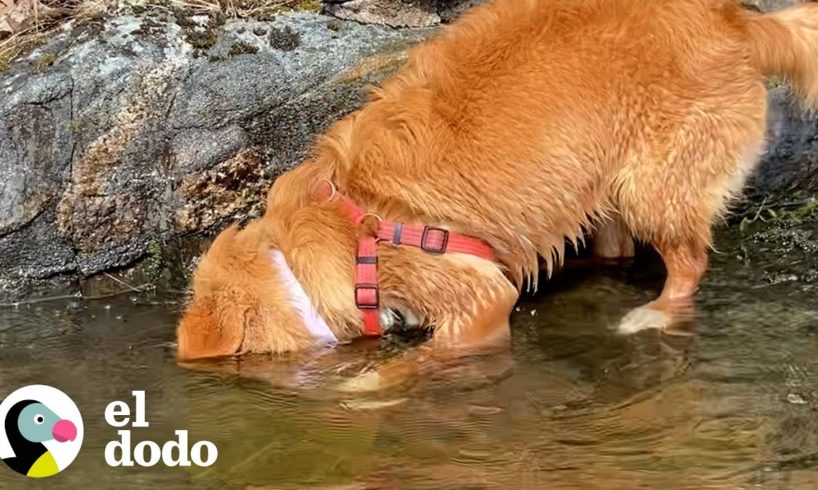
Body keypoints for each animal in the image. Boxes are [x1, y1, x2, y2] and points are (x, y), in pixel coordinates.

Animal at [175, 0, 816, 382]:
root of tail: (735, 18)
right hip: (602, 184)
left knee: (687, 264)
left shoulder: (476, 300)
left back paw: (652, 315)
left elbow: (407, 365)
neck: (352, 228)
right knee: (615, 249)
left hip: (652, 188)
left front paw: (365, 386)